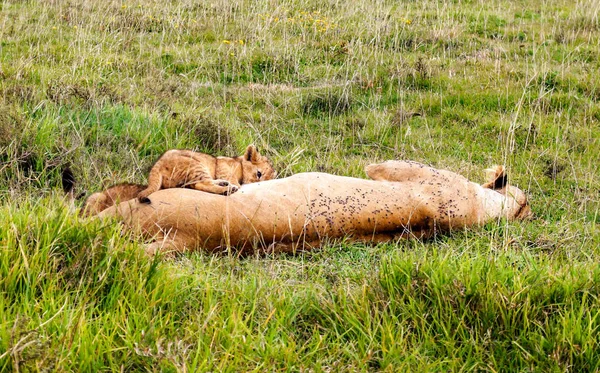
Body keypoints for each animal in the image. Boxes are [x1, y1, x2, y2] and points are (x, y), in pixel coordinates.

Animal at [137, 145, 276, 203]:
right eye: (259, 174)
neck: (238, 163)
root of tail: (157, 165)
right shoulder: (222, 168)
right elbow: (232, 179)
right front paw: (235, 185)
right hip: (196, 165)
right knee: (202, 184)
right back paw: (228, 189)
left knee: (197, 184)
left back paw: (224, 184)